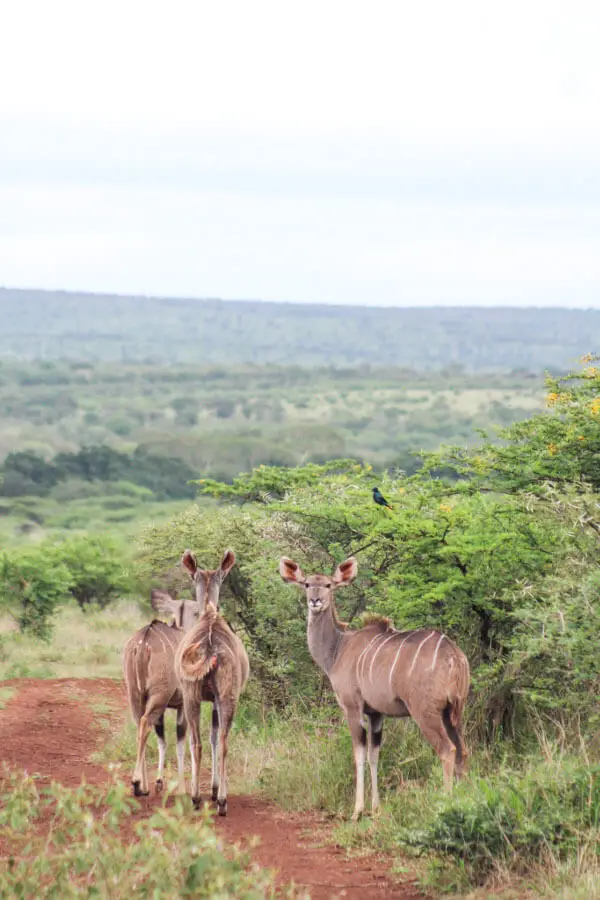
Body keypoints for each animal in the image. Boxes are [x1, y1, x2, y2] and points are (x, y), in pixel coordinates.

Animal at [122, 592, 202, 796]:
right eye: (197, 612)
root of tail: (143, 643)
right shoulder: (184, 704)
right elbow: (181, 740)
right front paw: (181, 788)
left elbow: (162, 739)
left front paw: (158, 782)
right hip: (158, 697)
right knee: (145, 724)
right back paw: (136, 783)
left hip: (137, 695)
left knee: (141, 725)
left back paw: (142, 787)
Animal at [173, 548, 248, 816]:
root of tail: (208, 646)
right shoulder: (216, 699)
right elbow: (215, 737)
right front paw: (215, 791)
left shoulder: (208, 698)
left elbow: (210, 737)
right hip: (224, 696)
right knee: (219, 741)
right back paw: (219, 800)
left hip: (193, 696)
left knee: (197, 742)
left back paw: (198, 797)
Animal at [278, 552, 472, 820]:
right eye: (307, 584)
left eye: (328, 585)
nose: (315, 601)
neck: (337, 649)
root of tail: (455, 656)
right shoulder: (377, 713)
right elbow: (374, 755)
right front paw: (376, 808)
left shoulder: (353, 706)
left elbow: (359, 754)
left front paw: (357, 811)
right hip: (454, 712)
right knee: (463, 750)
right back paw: (463, 799)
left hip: (426, 712)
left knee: (448, 750)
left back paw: (446, 803)